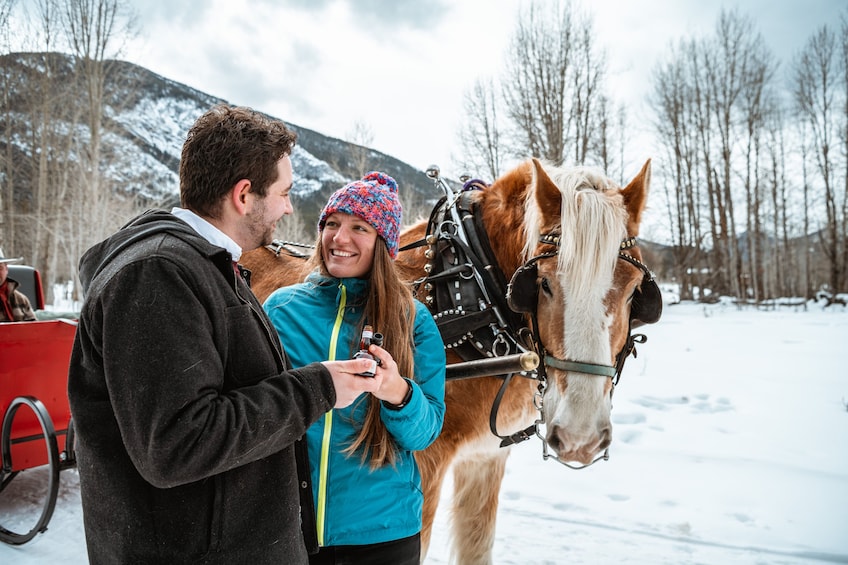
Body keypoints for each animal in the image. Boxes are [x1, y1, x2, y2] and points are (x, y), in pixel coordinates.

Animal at [242, 158, 660, 564]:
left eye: (634, 290)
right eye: (543, 283)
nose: (580, 437)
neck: (469, 294)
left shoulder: (486, 460)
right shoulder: (426, 468)